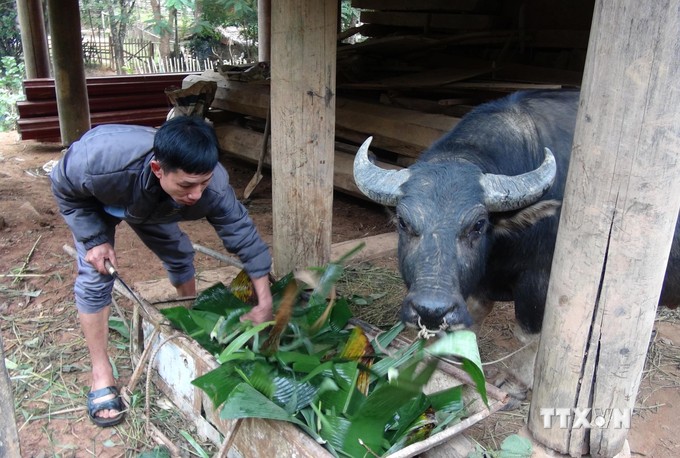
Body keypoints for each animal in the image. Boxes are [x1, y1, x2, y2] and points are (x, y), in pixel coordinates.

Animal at [354, 91, 680, 392]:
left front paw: (516, 380)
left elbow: (528, 334)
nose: (430, 311)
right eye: (403, 222)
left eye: (478, 225)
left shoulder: (539, 281)